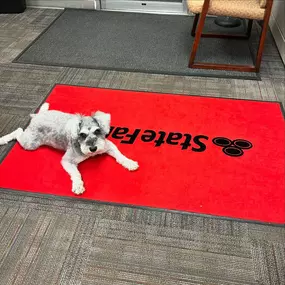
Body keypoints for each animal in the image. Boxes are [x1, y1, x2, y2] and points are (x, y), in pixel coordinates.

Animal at [0, 103, 139, 194]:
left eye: (97, 131)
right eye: (82, 134)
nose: (93, 148)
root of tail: (37, 116)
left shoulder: (107, 145)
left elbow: (120, 155)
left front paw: (130, 163)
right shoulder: (67, 161)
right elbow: (76, 173)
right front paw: (78, 186)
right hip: (30, 143)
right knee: (18, 131)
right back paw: (3, 139)